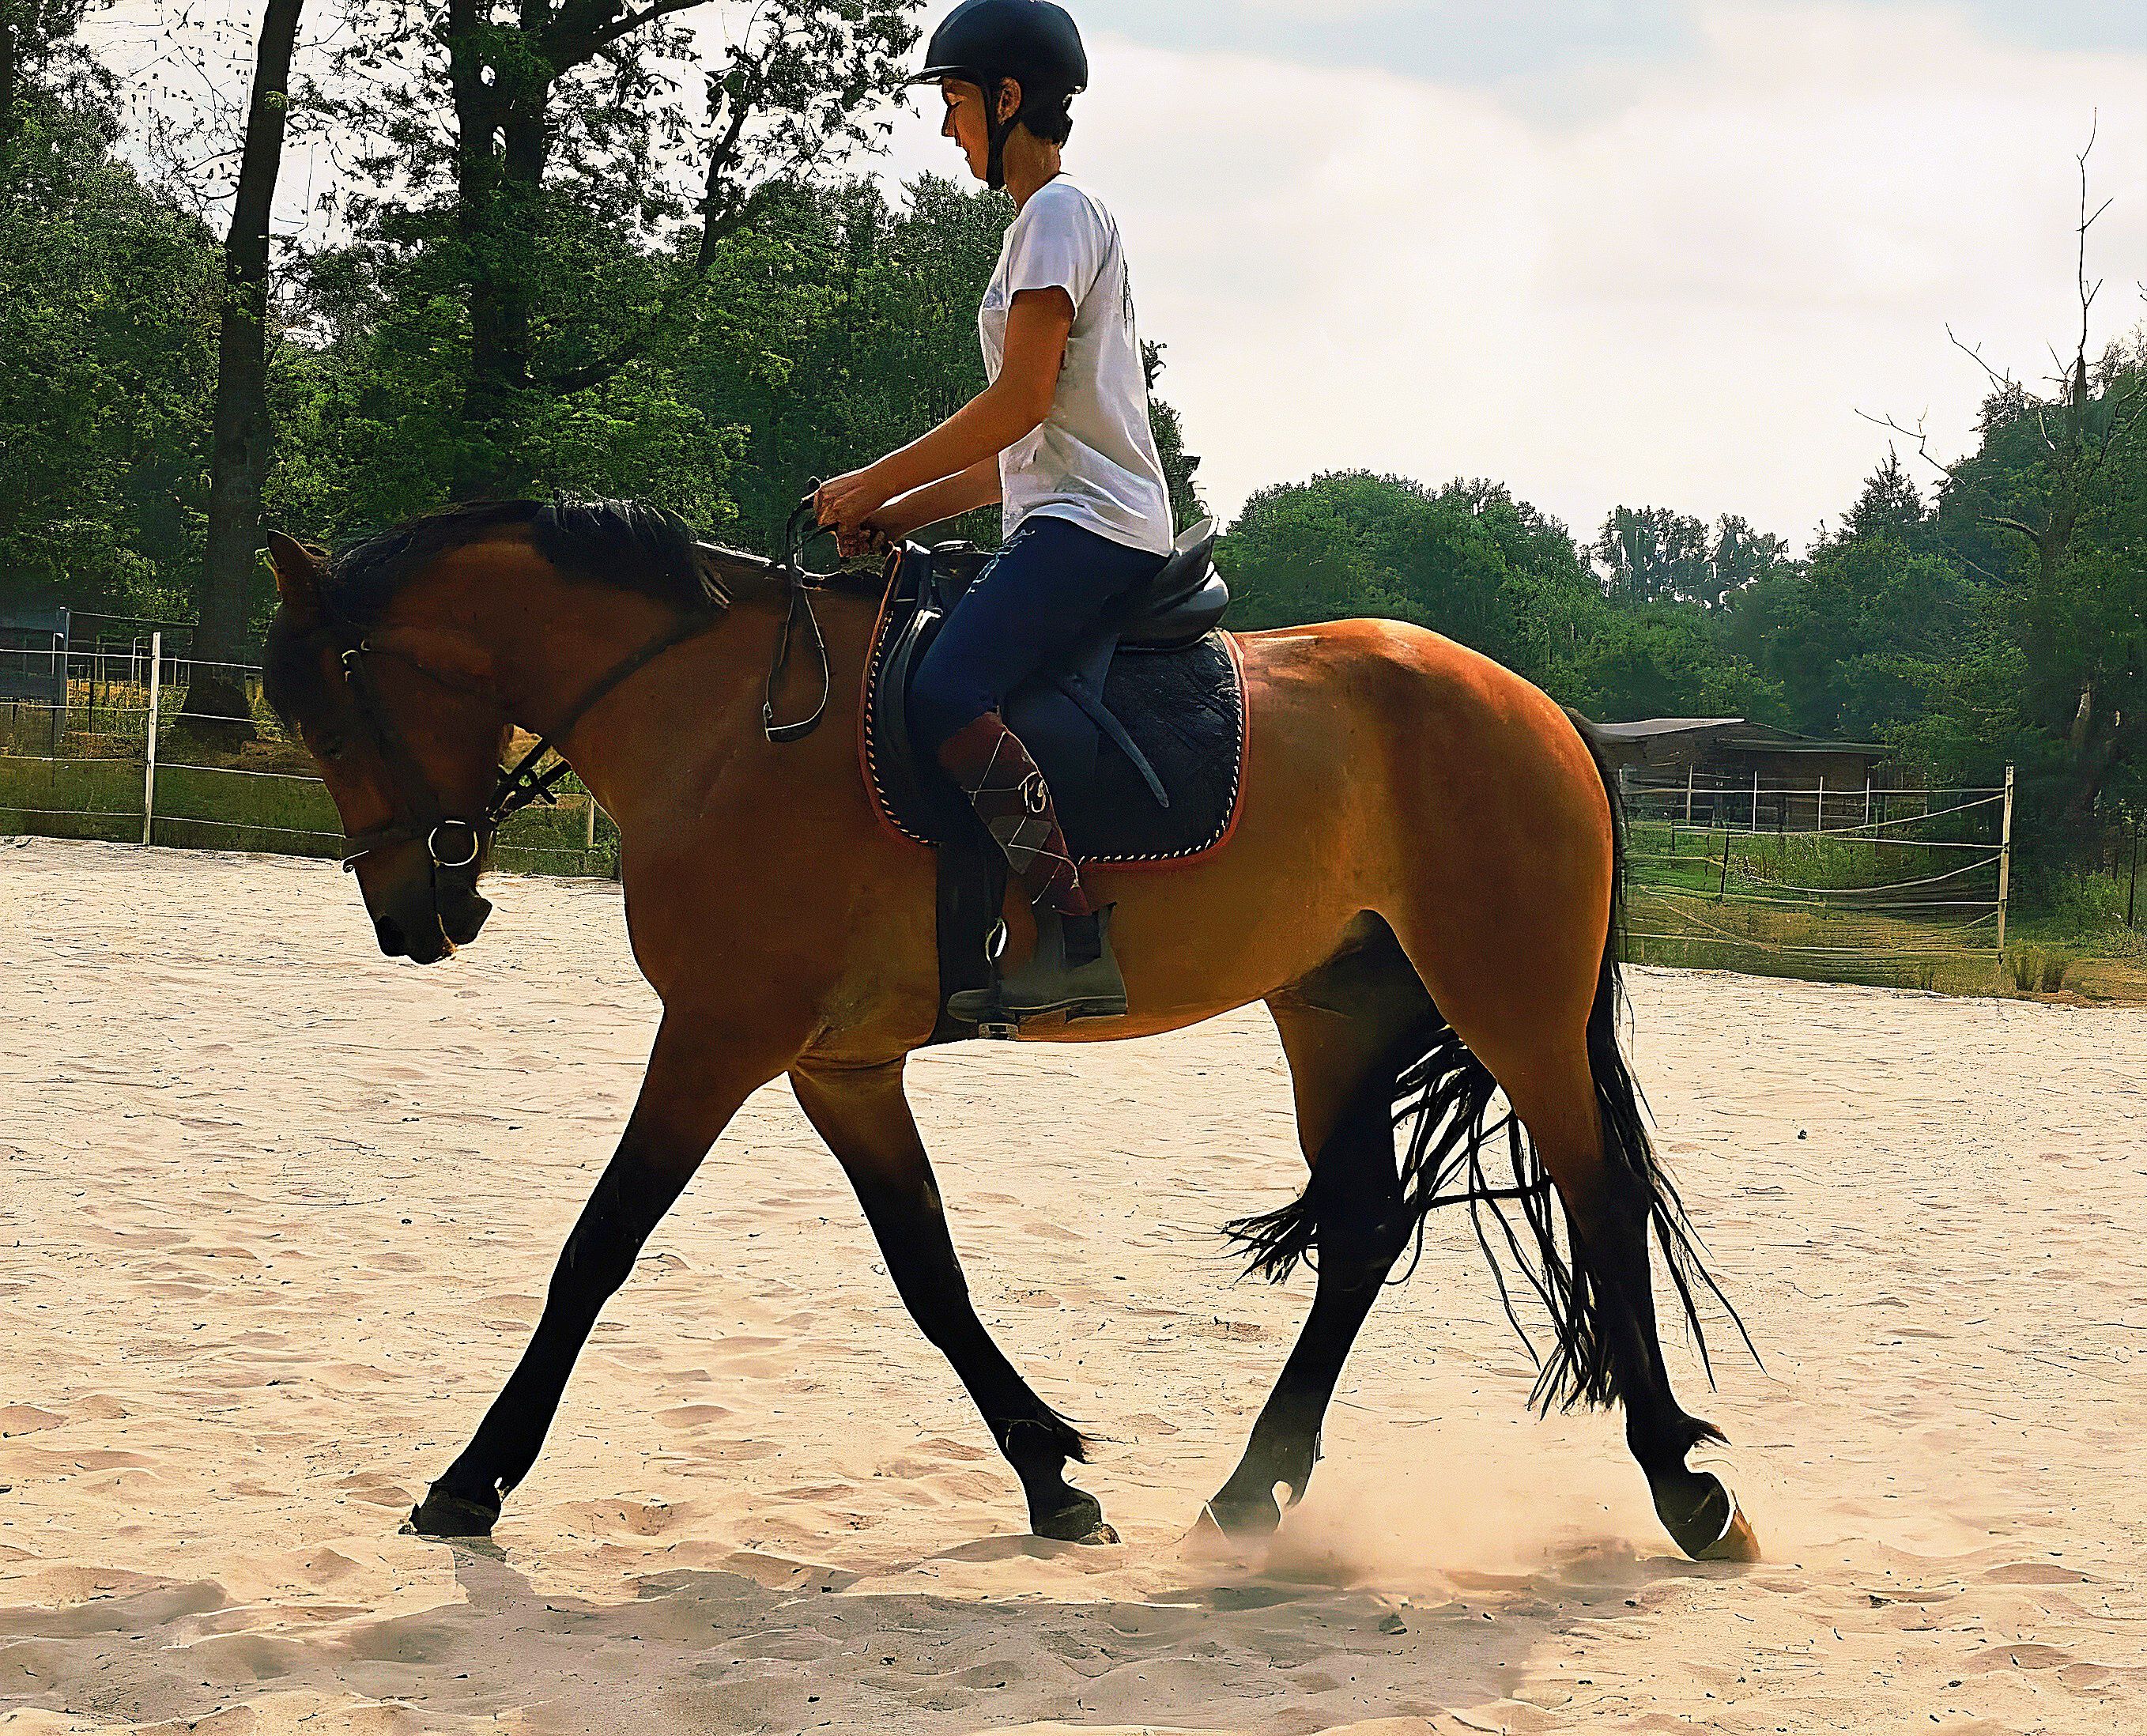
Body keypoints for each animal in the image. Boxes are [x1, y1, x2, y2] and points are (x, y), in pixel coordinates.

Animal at [259, 496, 1759, 1563]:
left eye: (328, 716)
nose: (410, 915)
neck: (723, 717)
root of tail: (1541, 711)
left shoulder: (718, 1038)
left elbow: (596, 1250)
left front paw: (470, 1479)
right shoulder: (839, 1066)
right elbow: (930, 1274)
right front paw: (1049, 1476)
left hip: (1513, 1004)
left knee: (1599, 1196)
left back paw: (1682, 1485)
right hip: (1334, 1011)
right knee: (1362, 1233)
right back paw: (1250, 1490)